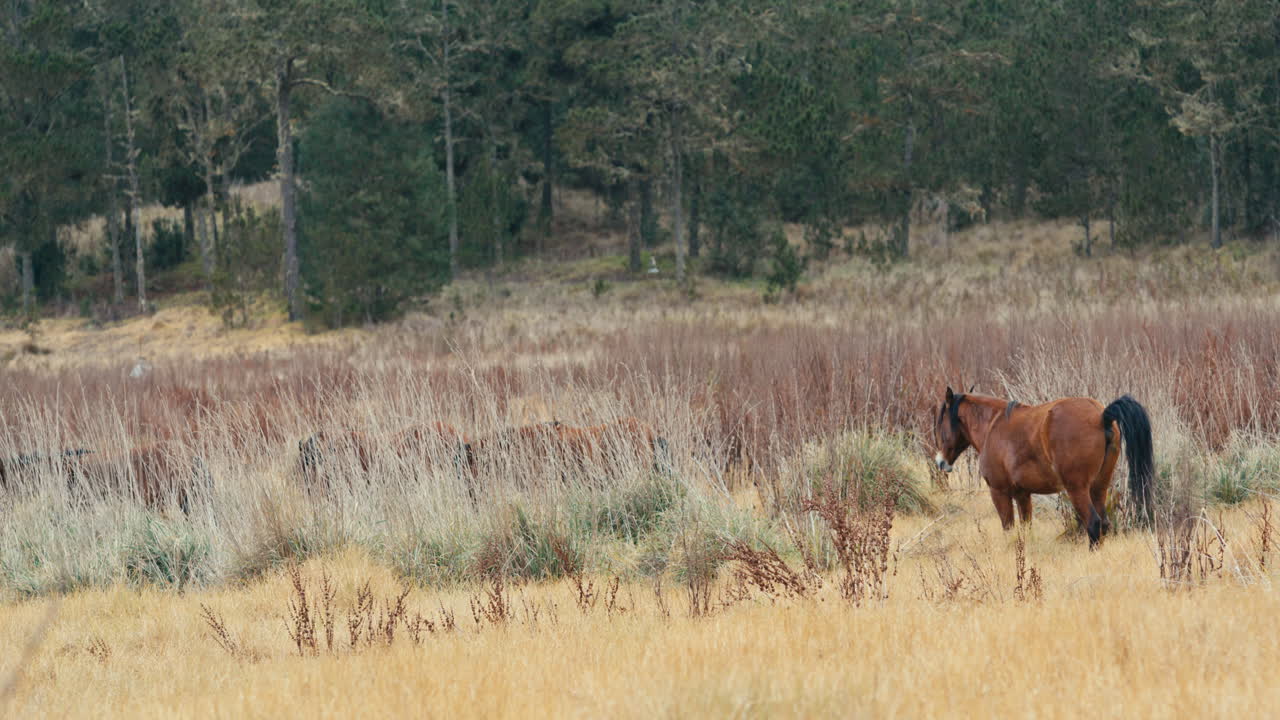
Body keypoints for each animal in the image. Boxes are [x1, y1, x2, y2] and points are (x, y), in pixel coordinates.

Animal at [932, 387, 1154, 547]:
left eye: (941, 422)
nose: (940, 462)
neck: (993, 426)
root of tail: (1102, 416)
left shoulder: (999, 492)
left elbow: (1008, 528)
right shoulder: (1023, 495)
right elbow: (1025, 528)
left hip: (1077, 489)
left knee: (1093, 523)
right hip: (1099, 487)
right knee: (1104, 524)